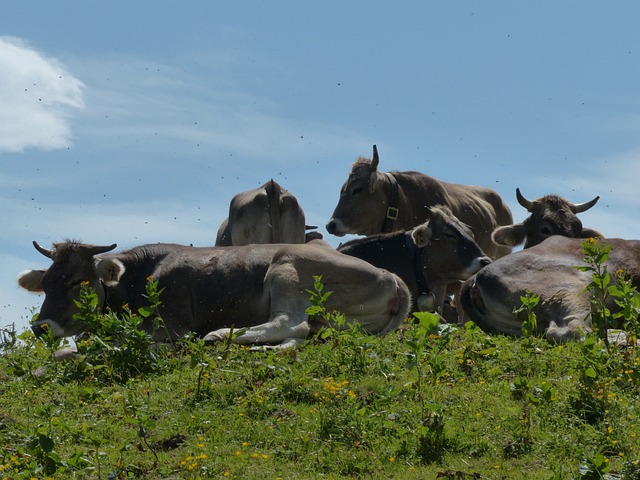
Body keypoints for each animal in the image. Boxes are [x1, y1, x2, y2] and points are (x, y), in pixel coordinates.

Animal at [18, 240, 416, 348]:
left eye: (76, 282)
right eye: (47, 284)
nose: (40, 327)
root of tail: (393, 277)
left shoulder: (171, 327)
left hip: (286, 268)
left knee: (289, 323)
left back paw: (219, 334)